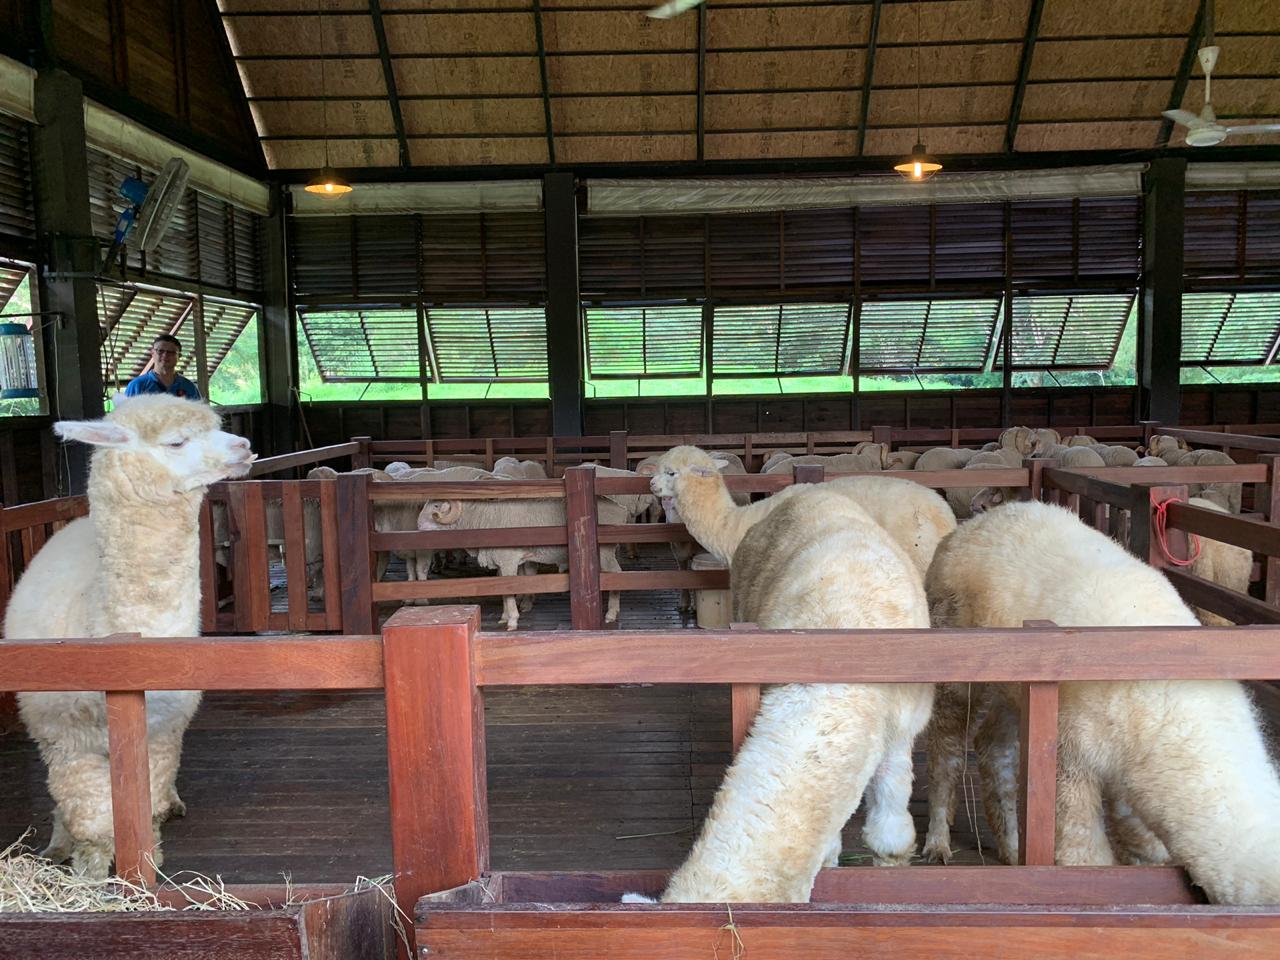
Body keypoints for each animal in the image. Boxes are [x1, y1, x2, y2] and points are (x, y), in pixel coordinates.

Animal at [6, 395, 256, 878]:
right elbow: (90, 814)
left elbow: (146, 799)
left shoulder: (159, 730)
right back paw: (57, 843)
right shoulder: (67, 738)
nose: (244, 446)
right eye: (176, 441)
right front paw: (90, 867)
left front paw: (146, 858)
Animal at [925, 501, 1280, 903]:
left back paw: (1013, 848)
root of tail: (980, 519)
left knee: (993, 746)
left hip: (1015, 688)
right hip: (955, 660)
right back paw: (938, 841)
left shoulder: (1135, 773)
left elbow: (1140, 843)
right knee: (947, 748)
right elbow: (1083, 853)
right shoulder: (1072, 755)